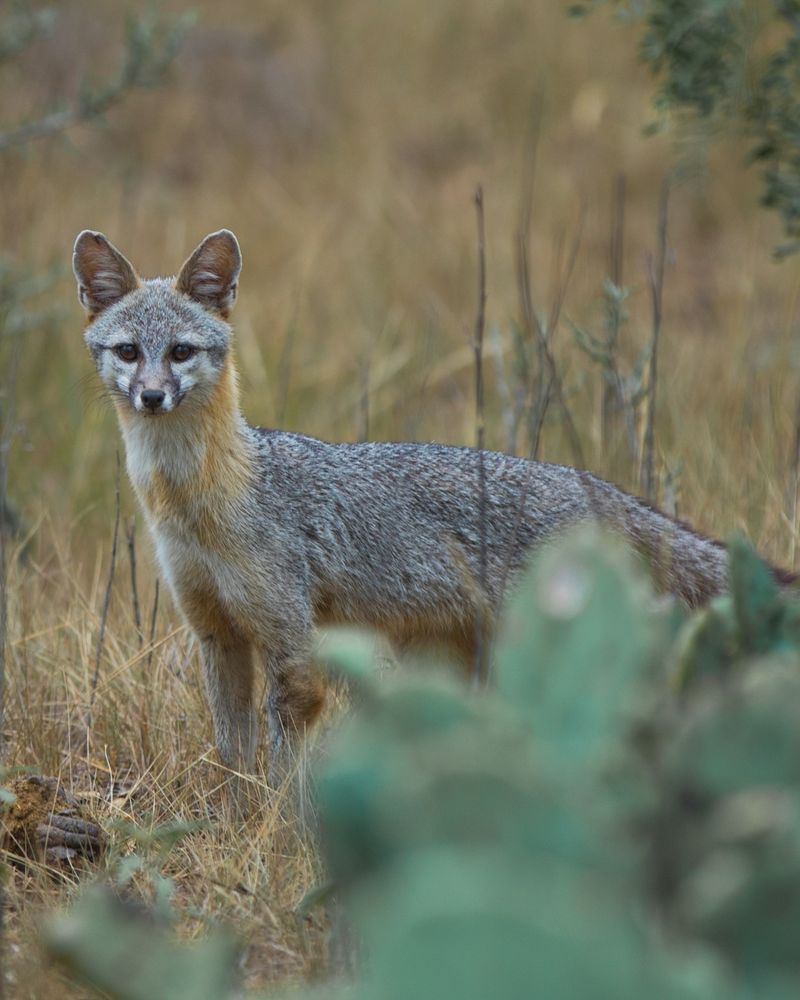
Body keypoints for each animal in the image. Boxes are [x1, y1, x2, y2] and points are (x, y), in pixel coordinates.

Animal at [73, 227, 794, 783]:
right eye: (130, 352)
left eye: (181, 352)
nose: (152, 397)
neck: (197, 504)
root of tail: (586, 480)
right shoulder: (216, 632)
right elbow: (233, 760)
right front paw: (237, 818)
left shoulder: (290, 643)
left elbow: (282, 769)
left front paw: (276, 834)